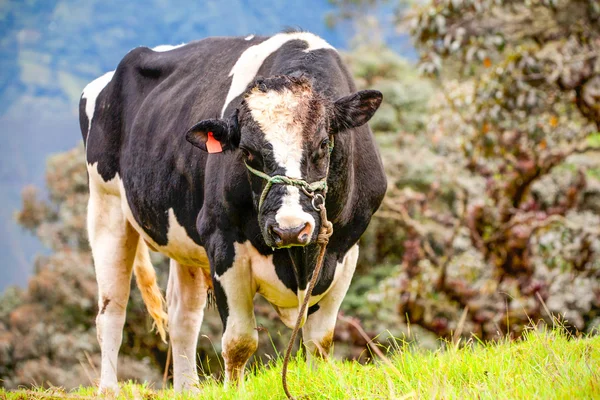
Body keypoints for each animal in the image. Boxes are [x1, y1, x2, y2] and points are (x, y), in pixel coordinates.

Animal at [79, 32, 386, 394]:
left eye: (324, 144)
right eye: (248, 152)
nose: (290, 229)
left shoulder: (343, 250)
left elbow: (319, 341)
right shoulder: (223, 241)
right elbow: (239, 342)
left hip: (184, 240)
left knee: (183, 316)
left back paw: (188, 390)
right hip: (106, 207)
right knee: (111, 310)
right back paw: (108, 389)